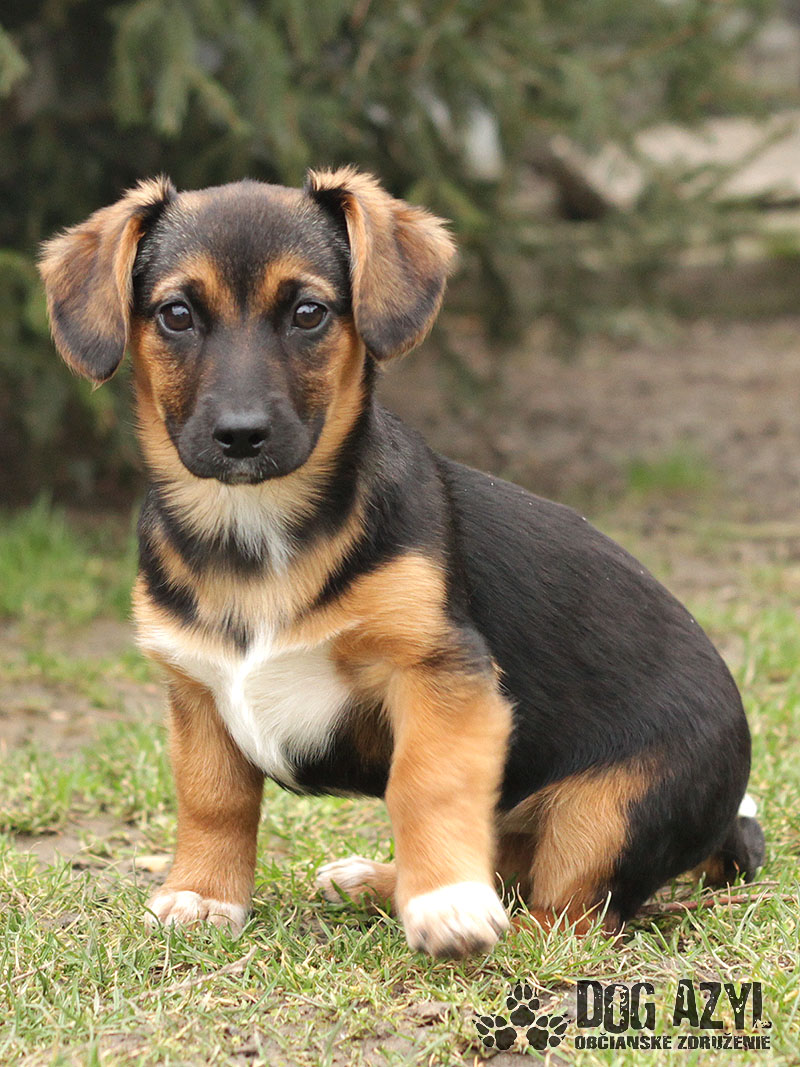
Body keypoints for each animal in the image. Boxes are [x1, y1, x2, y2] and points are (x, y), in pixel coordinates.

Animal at [39, 169, 764, 957]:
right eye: (175, 314)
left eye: (308, 313)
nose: (241, 436)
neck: (257, 531)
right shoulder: (197, 687)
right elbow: (213, 799)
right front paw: (203, 894)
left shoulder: (439, 671)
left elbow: (426, 783)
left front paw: (445, 901)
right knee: (512, 865)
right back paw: (377, 883)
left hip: (612, 810)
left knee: (571, 913)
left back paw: (489, 922)